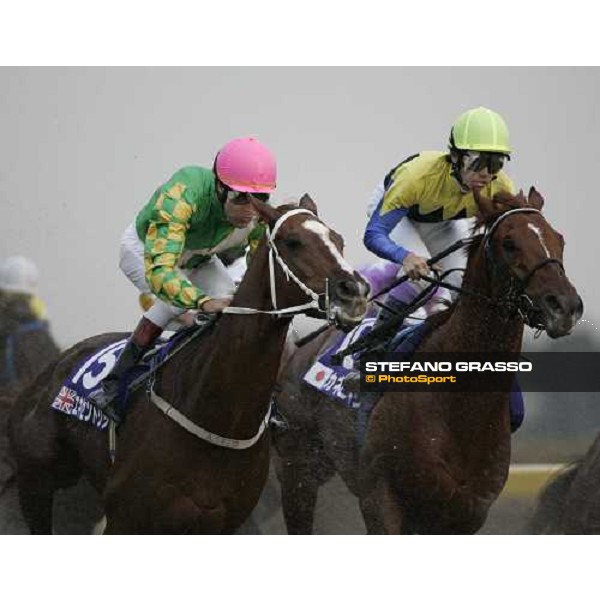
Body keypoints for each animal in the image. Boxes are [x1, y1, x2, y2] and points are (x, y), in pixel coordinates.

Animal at [9, 196, 368, 536]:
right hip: (35, 482)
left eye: (338, 240)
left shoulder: (221, 524)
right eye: (293, 241)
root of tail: (53, 366)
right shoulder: (127, 518)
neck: (218, 419)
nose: (354, 292)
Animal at [274, 189, 584, 536]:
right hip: (298, 469)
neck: (461, 409)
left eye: (559, 239)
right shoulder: (380, 500)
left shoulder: (465, 515)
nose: (565, 306)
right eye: (509, 242)